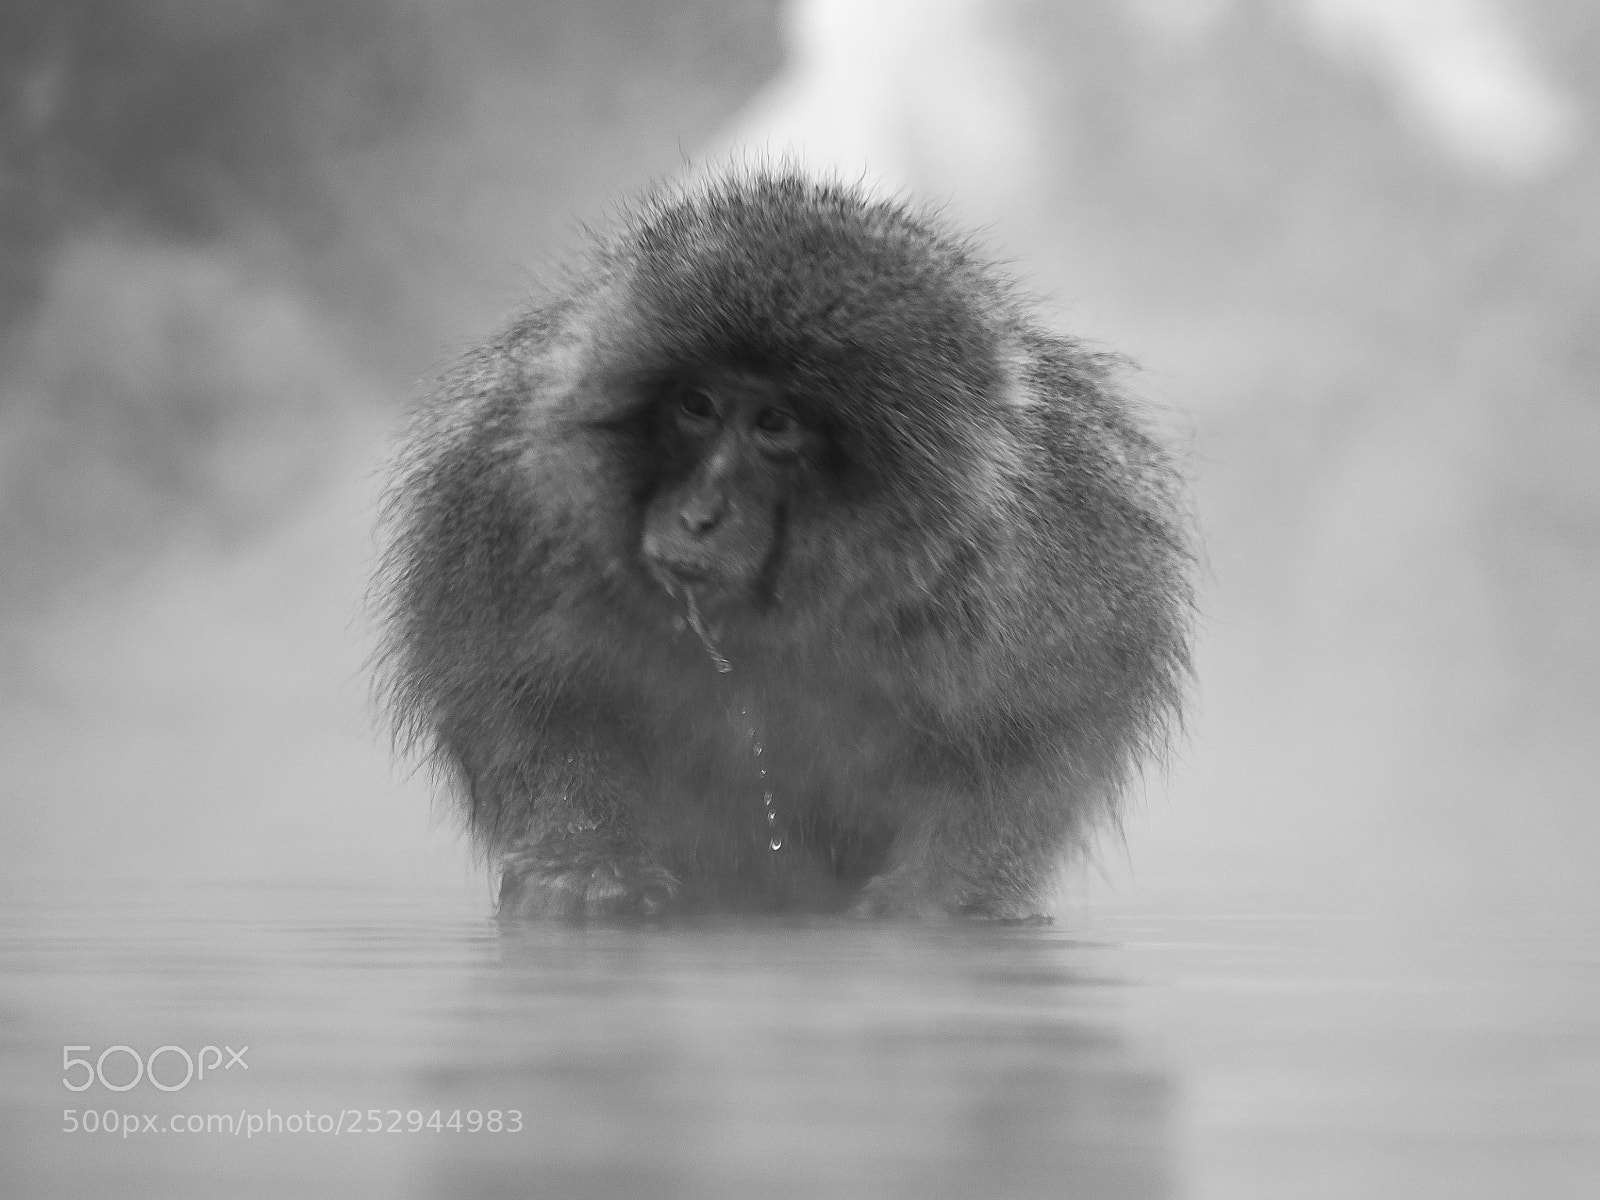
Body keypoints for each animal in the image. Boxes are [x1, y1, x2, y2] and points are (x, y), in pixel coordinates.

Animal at [372, 170, 1194, 921]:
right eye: (696, 405)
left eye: (774, 424)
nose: (699, 514)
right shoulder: (511, 497)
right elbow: (526, 700)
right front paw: (586, 865)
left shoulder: (1044, 548)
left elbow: (1039, 729)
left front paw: (943, 896)